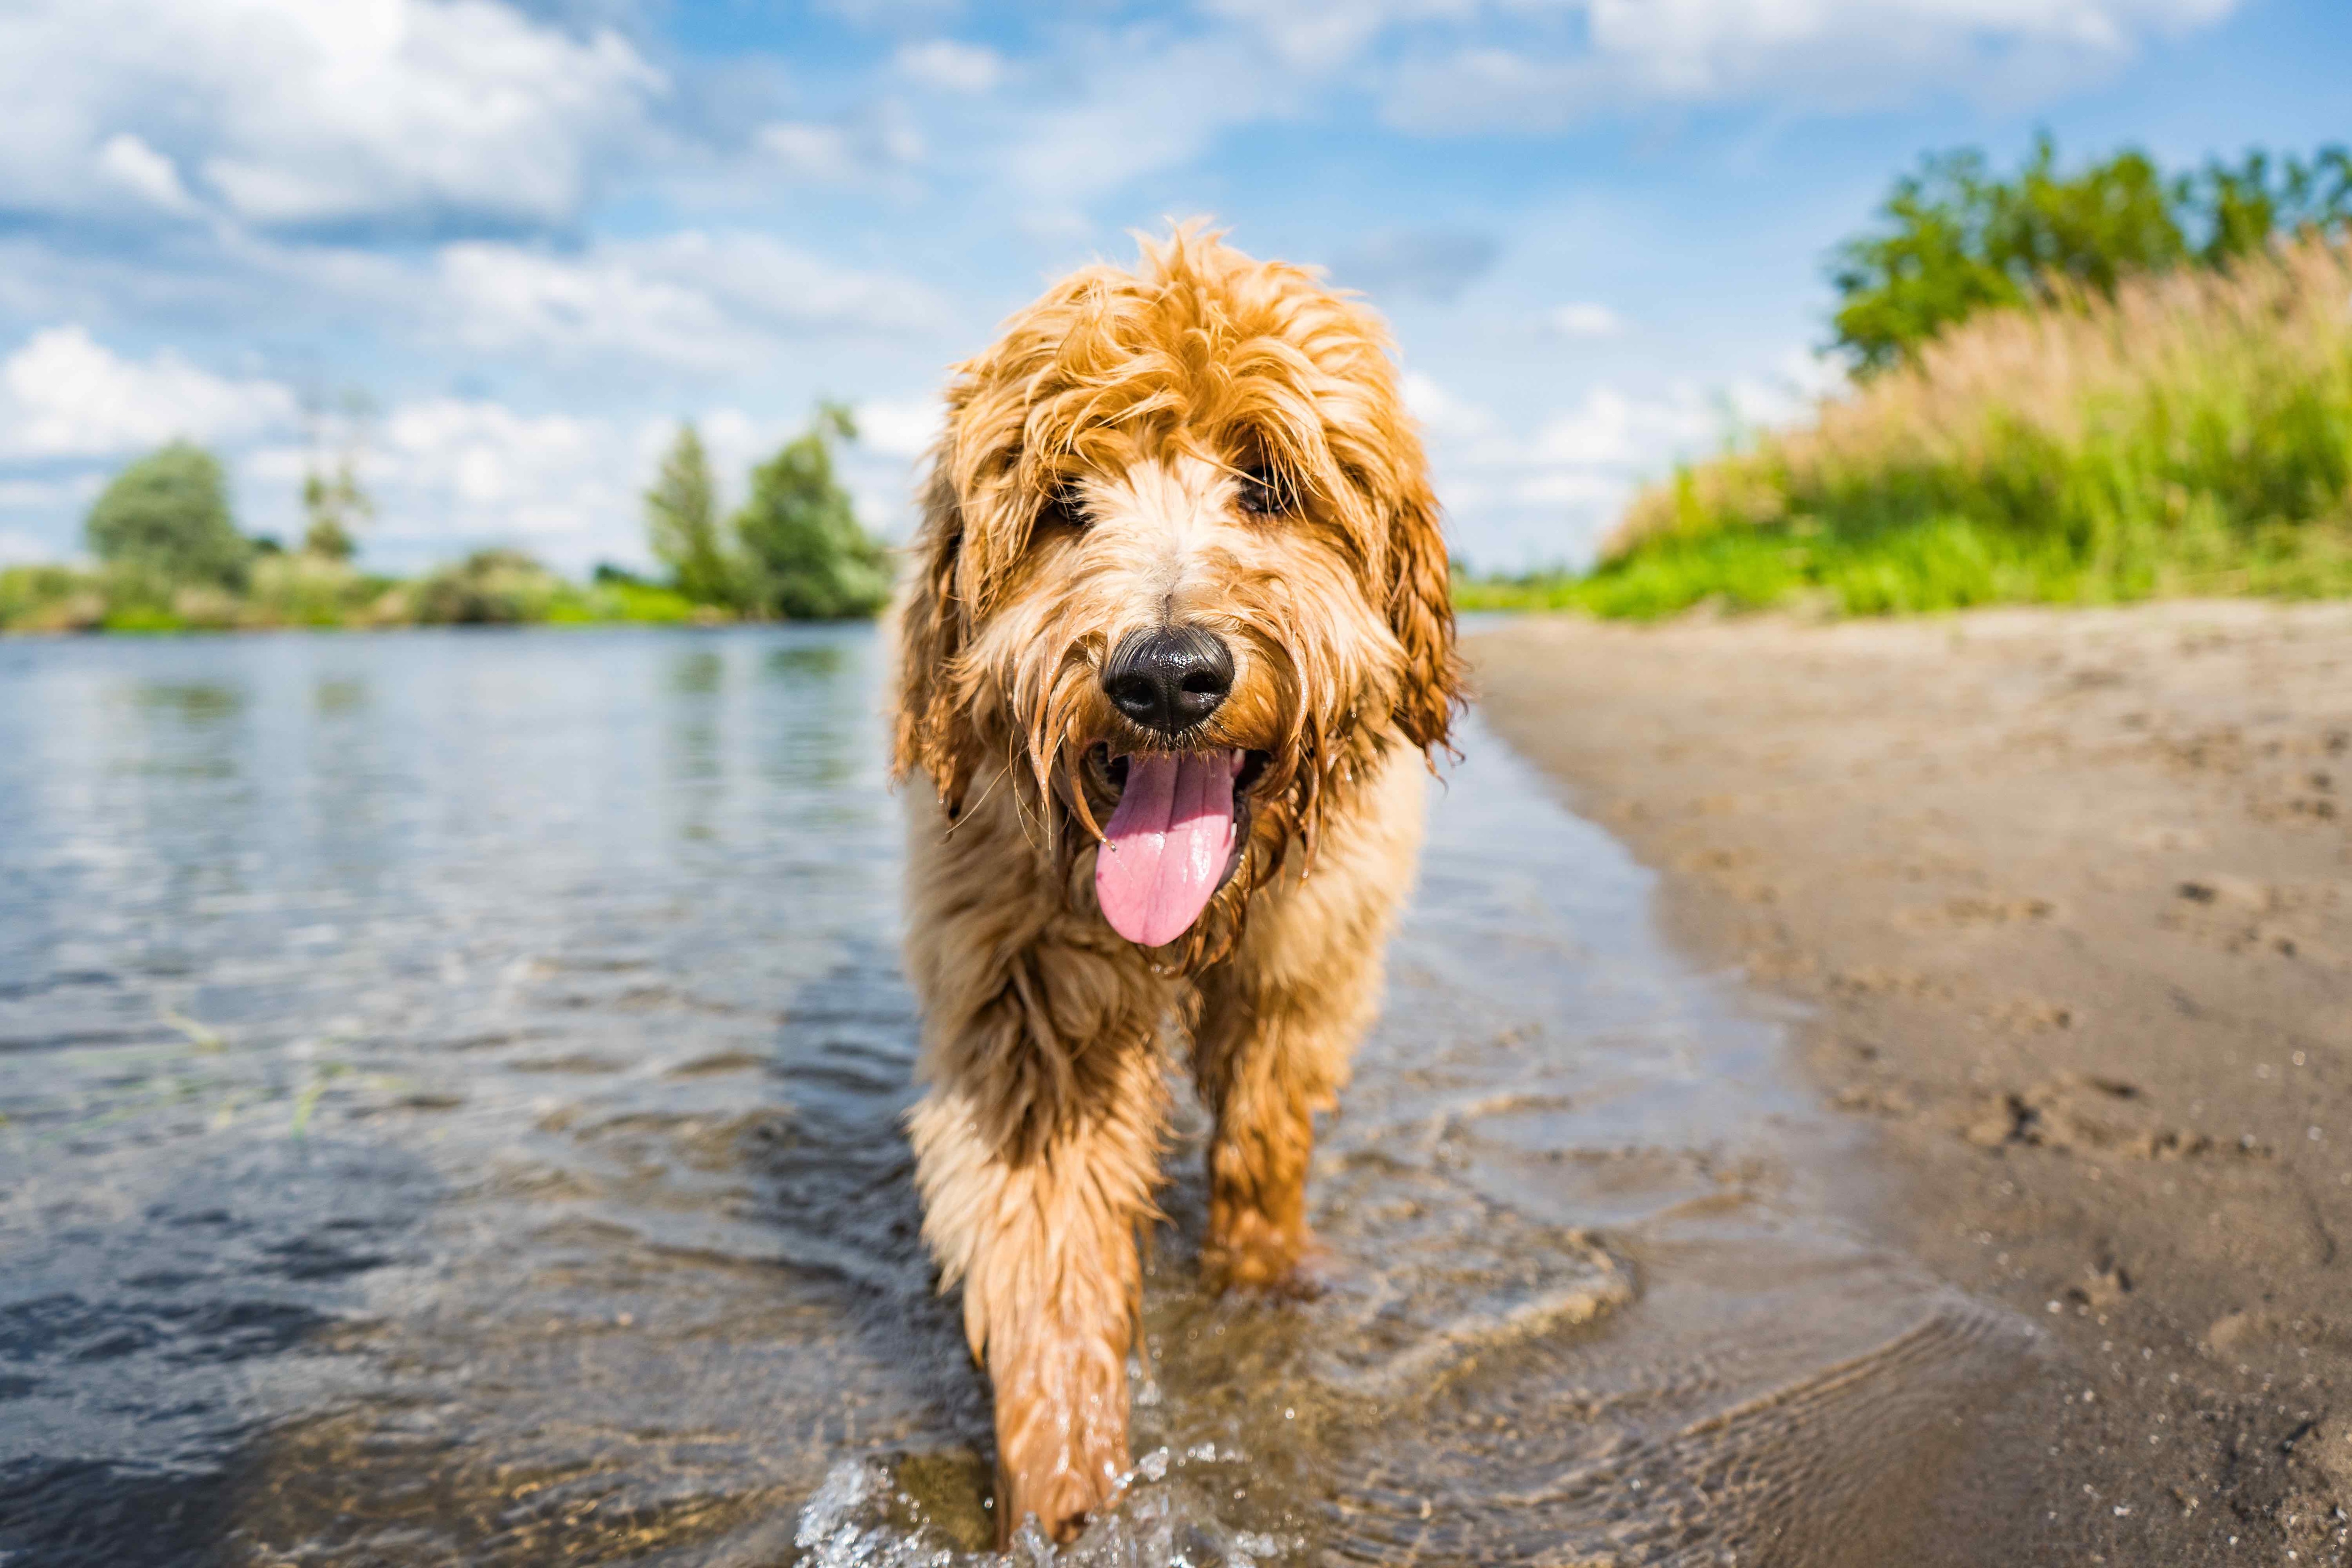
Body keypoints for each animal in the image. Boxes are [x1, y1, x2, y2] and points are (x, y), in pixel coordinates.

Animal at [889, 227, 1458, 1542]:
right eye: (1062, 503)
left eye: (1271, 481)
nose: (1165, 676)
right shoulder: (1023, 1012)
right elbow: (1046, 1265)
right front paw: (1064, 1497)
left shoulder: (1308, 966)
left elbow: (1261, 1133)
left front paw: (1260, 1276)